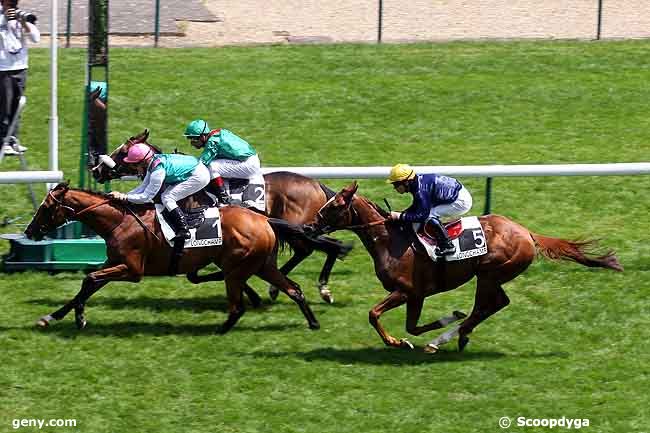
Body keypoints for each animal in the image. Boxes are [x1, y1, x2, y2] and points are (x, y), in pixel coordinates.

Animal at [24, 182, 318, 330]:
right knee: (294, 289)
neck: (119, 221)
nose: (30, 230)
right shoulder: (115, 263)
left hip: (238, 268)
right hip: (262, 265)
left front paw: (78, 318)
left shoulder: (132, 270)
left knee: (237, 306)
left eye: (46, 207)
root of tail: (265, 220)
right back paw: (313, 323)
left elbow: (89, 279)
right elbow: (89, 284)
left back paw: (219, 329)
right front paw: (55, 316)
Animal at [90, 130, 350, 302]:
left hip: (300, 228)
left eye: (123, 152)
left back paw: (320, 289)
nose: (96, 170)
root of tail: (316, 184)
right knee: (314, 249)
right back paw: (281, 288)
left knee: (327, 246)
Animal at [308, 181, 624, 352]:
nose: (310, 226)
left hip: (489, 274)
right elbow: (413, 327)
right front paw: (434, 327)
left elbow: (374, 315)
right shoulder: (416, 295)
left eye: (334, 206)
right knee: (494, 305)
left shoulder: (407, 291)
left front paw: (398, 342)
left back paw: (450, 337)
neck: (391, 240)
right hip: (490, 277)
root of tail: (526, 232)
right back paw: (455, 335)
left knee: (490, 305)